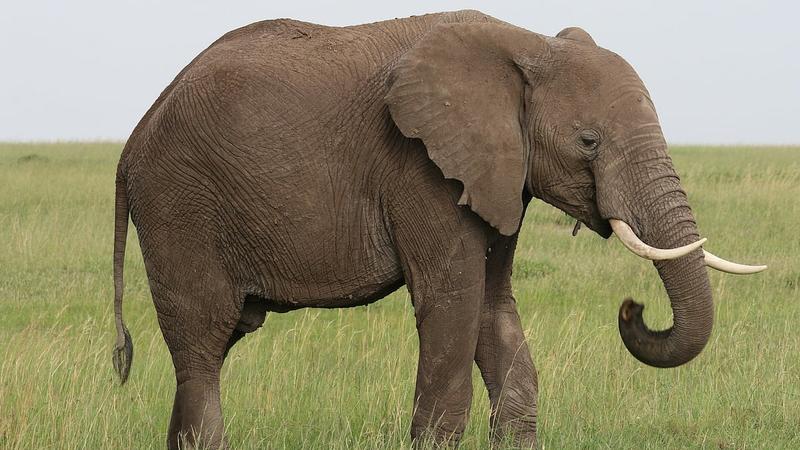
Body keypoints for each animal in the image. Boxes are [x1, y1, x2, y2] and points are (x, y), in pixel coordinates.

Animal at [111, 10, 765, 449]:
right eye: (588, 141)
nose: (633, 308)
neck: (526, 45)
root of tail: (132, 141)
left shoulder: (499, 172)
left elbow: (494, 309)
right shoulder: (419, 167)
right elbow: (452, 303)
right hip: (178, 209)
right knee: (202, 345)